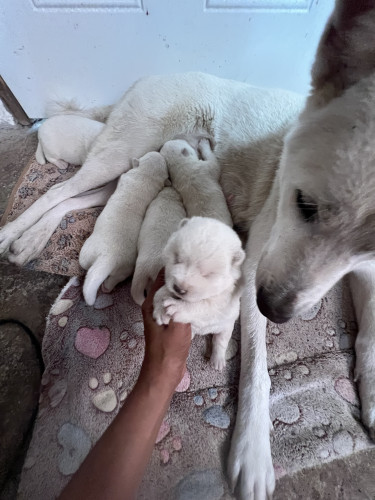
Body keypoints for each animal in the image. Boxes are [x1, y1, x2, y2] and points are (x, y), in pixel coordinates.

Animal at [81, 150, 169, 304]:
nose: (158, 151)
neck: (147, 176)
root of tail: (108, 258)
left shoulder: (127, 177)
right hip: (124, 268)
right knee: (115, 278)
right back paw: (107, 287)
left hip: (88, 250)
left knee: (85, 265)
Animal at [153, 216, 245, 372]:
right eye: (177, 258)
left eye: (207, 274)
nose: (179, 289)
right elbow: (161, 292)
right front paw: (160, 310)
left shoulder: (223, 301)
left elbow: (202, 305)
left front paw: (176, 307)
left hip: (226, 326)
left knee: (220, 341)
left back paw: (217, 361)